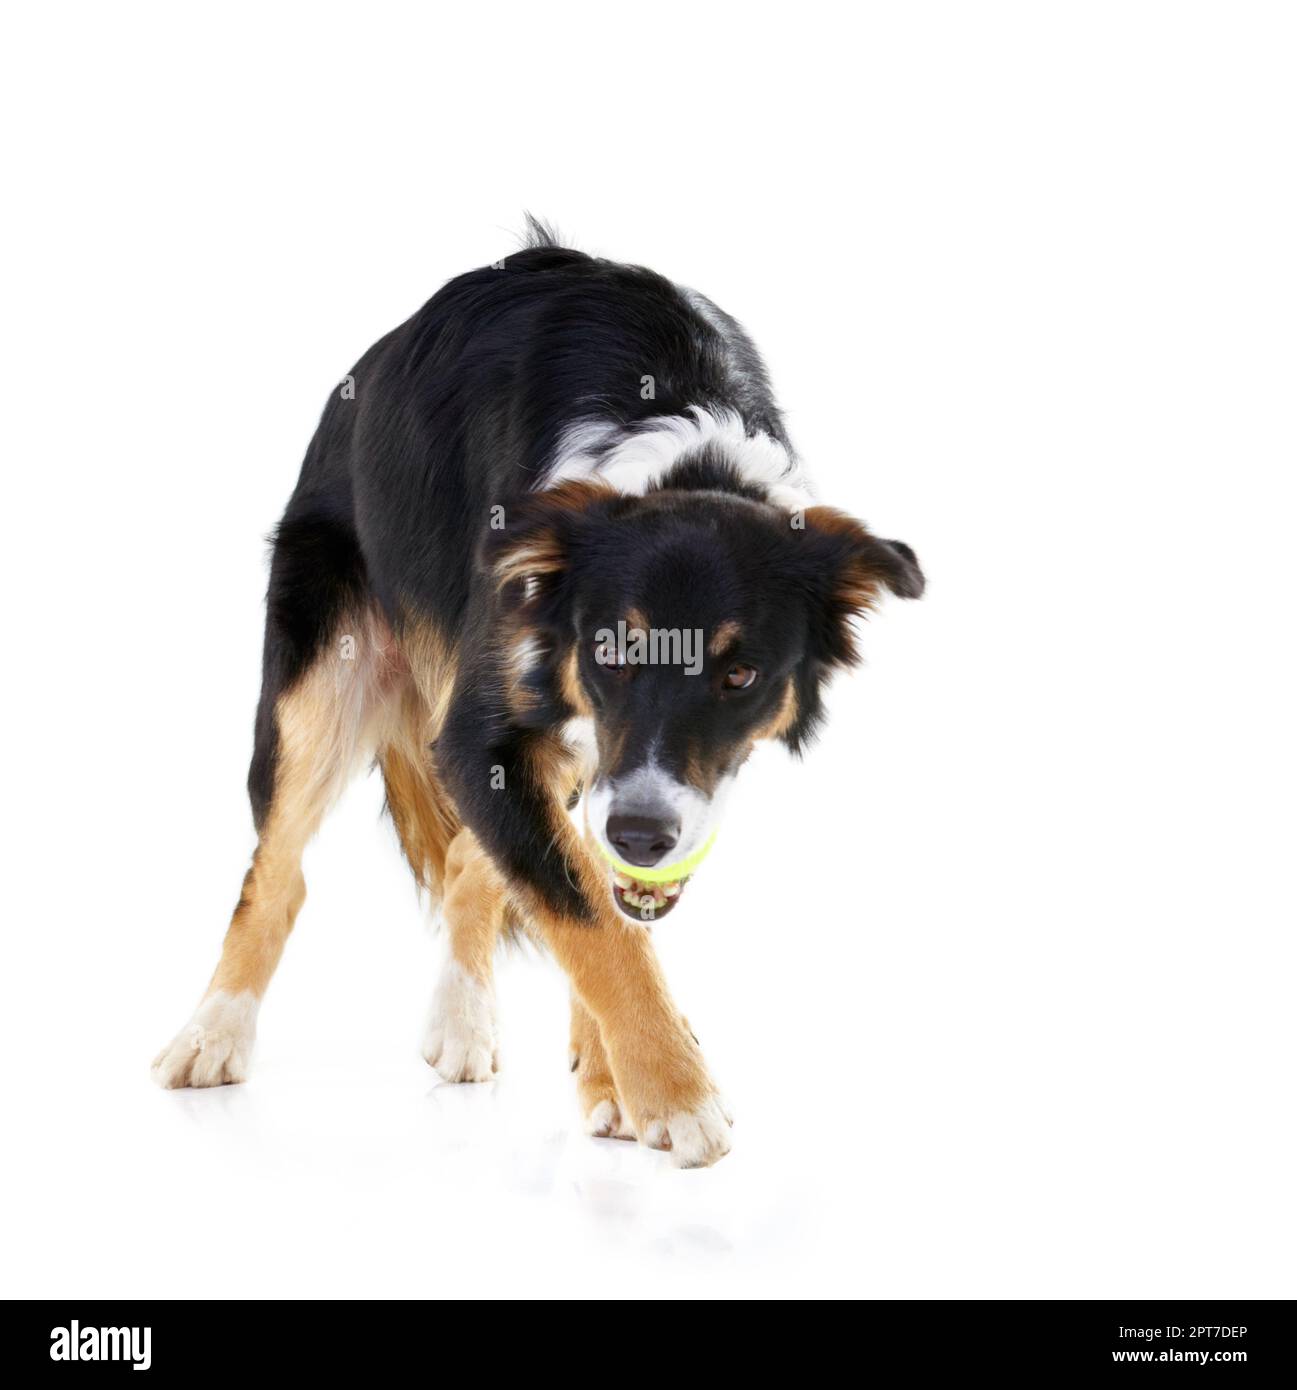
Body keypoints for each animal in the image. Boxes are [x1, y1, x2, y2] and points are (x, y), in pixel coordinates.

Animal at [151, 222, 923, 1167]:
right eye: (609, 652)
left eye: (740, 677)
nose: (645, 835)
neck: (681, 457)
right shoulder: (487, 734)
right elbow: (589, 917)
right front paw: (675, 1092)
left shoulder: (601, 772)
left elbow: (587, 895)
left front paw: (616, 1078)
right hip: (321, 679)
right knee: (280, 870)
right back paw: (213, 1034)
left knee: (466, 857)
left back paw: (467, 1017)